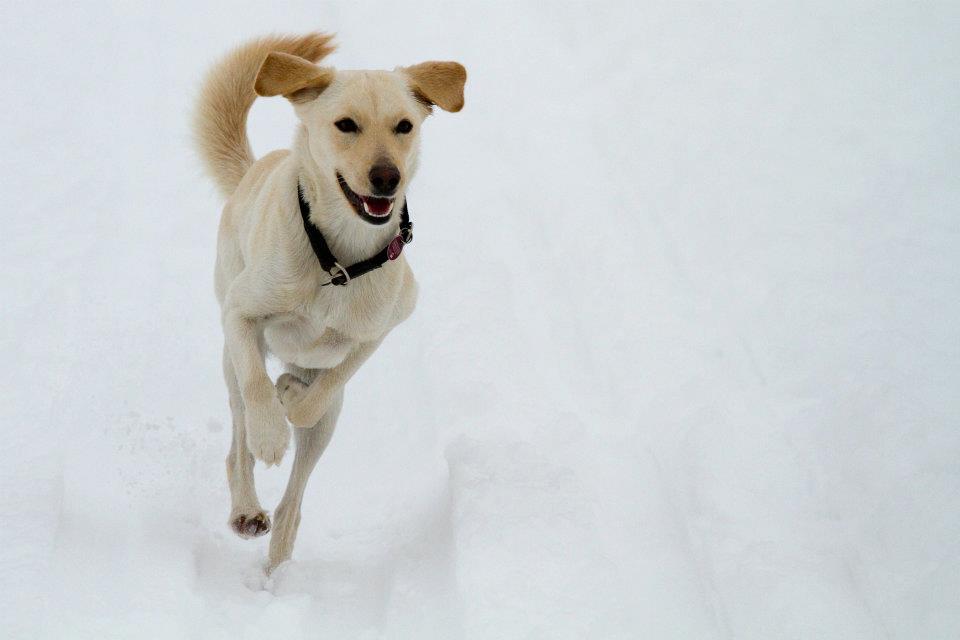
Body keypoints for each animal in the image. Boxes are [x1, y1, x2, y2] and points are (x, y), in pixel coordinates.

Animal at [192, 33, 464, 568]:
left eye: (404, 126)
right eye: (346, 125)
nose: (387, 177)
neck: (336, 260)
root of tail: (254, 169)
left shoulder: (382, 327)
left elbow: (327, 385)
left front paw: (292, 397)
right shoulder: (240, 312)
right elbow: (257, 387)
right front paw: (272, 432)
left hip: (329, 424)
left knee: (294, 498)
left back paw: (278, 552)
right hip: (229, 358)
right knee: (238, 441)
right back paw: (247, 507)